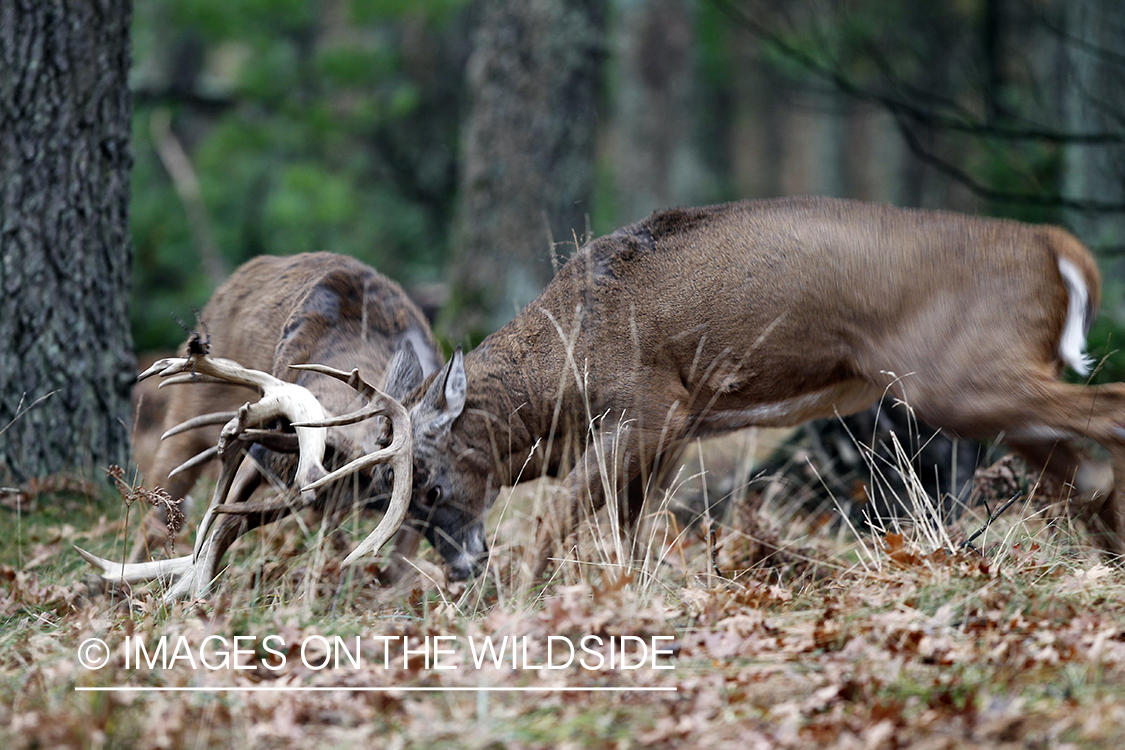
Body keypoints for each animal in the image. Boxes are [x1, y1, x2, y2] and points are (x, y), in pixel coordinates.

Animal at [391, 196, 1120, 584]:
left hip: (956, 378)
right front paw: (635, 590)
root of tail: (1059, 253)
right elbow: (634, 526)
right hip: (987, 387)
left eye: (428, 488)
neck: (555, 380)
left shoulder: (649, 408)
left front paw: (525, 595)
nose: (461, 568)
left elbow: (559, 510)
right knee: (1085, 474)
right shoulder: (675, 430)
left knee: (1107, 417)